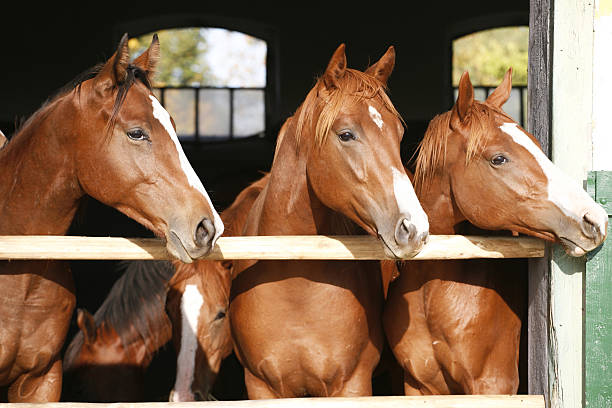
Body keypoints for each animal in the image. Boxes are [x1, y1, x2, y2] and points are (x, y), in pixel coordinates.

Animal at [230, 45, 430, 398]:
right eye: (346, 134)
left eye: (399, 134)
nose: (414, 228)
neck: (294, 286)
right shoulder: (261, 386)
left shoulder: (352, 384)